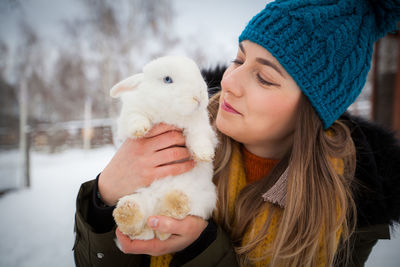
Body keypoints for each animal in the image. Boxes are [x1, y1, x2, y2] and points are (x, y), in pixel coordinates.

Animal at [110, 56, 219, 241]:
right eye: (167, 79)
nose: (199, 96)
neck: (169, 114)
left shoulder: (200, 127)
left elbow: (199, 137)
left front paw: (205, 154)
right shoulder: (131, 114)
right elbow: (135, 118)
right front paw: (140, 130)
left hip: (203, 201)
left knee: (168, 224)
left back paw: (175, 202)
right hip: (138, 198)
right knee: (137, 229)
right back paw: (128, 213)